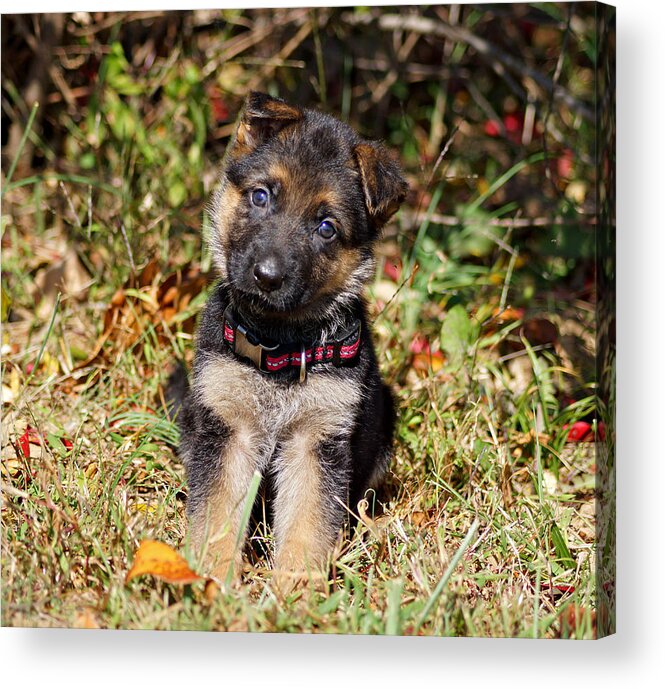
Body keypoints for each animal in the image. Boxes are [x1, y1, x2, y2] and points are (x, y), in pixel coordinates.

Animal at [172, 90, 404, 584]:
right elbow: (217, 513)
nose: (267, 276)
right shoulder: (230, 431)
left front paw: (295, 590)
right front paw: (211, 581)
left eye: (326, 227)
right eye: (260, 197)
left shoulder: (315, 444)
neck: (279, 344)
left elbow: (306, 525)